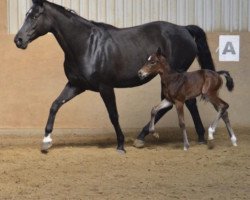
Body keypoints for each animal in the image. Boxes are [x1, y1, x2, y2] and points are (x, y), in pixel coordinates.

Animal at [14, 0, 215, 153]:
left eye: (34, 16)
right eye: (25, 15)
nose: (18, 40)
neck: (86, 45)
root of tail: (184, 29)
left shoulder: (105, 87)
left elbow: (113, 115)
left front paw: (120, 145)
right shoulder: (76, 85)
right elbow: (55, 105)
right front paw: (46, 141)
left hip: (172, 75)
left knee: (176, 104)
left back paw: (144, 137)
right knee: (184, 103)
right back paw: (198, 137)